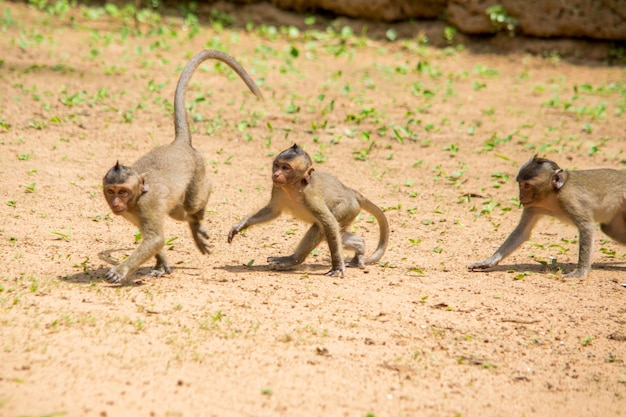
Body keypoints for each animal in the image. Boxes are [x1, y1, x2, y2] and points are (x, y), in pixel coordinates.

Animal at [102, 49, 260, 282]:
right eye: (111, 191)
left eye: (122, 191)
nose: (115, 203)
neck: (136, 197)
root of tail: (179, 143)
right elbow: (153, 239)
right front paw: (162, 264)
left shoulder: (146, 205)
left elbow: (155, 239)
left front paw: (120, 271)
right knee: (179, 213)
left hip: (197, 171)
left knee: (195, 202)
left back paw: (201, 209)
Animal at [227, 143, 388, 276]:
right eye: (277, 165)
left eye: (286, 168)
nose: (276, 174)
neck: (293, 186)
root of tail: (351, 192)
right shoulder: (277, 188)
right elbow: (272, 211)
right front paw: (240, 226)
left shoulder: (310, 194)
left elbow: (328, 222)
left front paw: (336, 266)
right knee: (336, 233)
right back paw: (360, 247)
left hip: (347, 208)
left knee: (322, 227)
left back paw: (292, 259)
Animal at [466, 154, 624, 278]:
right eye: (520, 184)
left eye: (527, 186)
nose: (520, 196)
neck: (552, 195)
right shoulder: (533, 207)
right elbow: (522, 233)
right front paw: (488, 262)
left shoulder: (569, 199)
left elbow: (587, 227)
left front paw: (581, 271)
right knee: (610, 230)